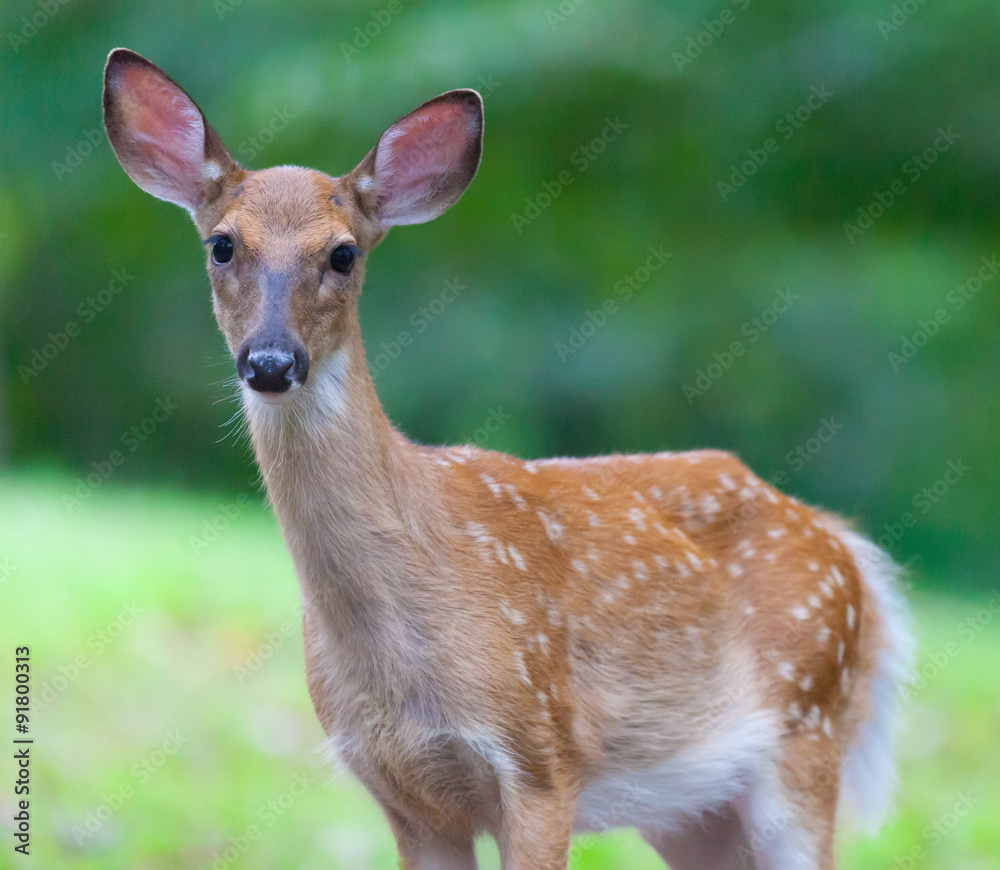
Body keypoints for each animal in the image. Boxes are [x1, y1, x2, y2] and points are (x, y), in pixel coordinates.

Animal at [102, 48, 914, 870]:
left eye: (342, 253)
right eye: (222, 244)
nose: (270, 361)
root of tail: (848, 548)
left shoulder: (542, 758)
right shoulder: (404, 794)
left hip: (806, 733)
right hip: (695, 811)